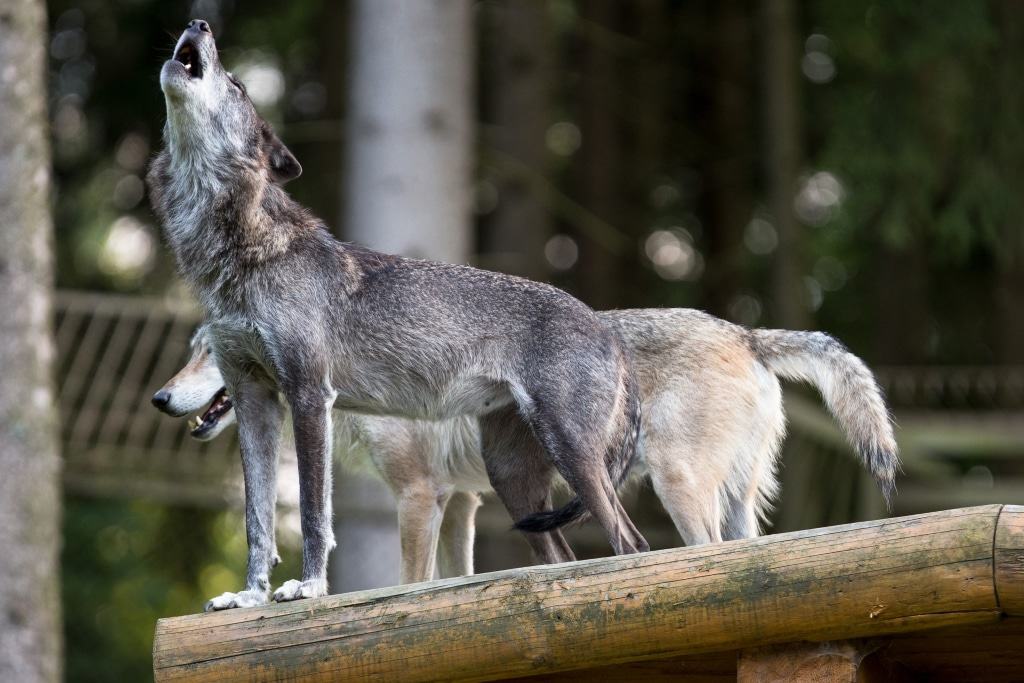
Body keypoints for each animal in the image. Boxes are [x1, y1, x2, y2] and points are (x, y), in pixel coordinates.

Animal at [147, 20, 647, 610]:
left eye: (238, 84)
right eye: (195, 351)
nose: (199, 23)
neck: (243, 255)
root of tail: (606, 328)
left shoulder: (310, 397)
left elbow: (314, 512)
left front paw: (308, 588)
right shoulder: (254, 401)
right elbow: (256, 521)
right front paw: (249, 598)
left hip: (572, 457)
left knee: (633, 544)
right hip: (515, 481)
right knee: (566, 557)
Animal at [155, 310, 900, 585]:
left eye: (209, 355)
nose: (161, 398)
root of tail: (744, 332)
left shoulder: (420, 499)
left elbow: (411, 584)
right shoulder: (462, 505)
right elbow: (452, 580)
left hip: (678, 489)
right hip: (732, 503)